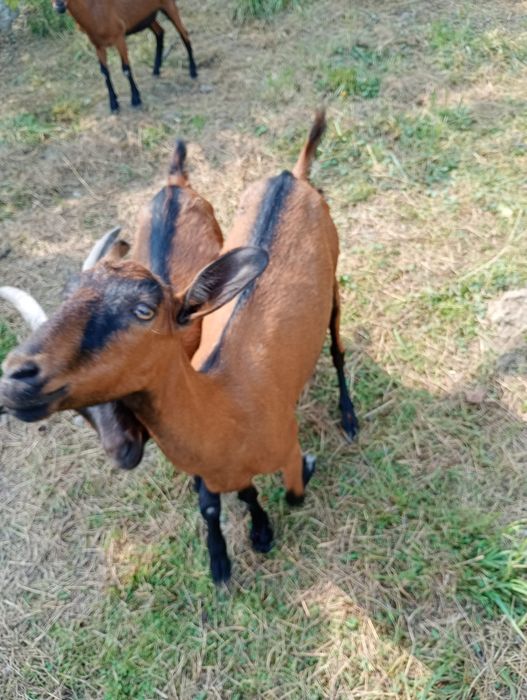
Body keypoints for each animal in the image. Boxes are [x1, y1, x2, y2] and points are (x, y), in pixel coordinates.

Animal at [52, 0, 197, 112]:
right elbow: (104, 73)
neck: (93, 10)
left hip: (168, 5)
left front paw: (135, 99)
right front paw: (113, 104)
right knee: (160, 32)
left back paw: (193, 71)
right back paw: (156, 69)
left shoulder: (119, 37)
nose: (59, 5)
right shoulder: (98, 45)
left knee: (184, 34)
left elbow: (126, 68)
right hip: (147, 17)